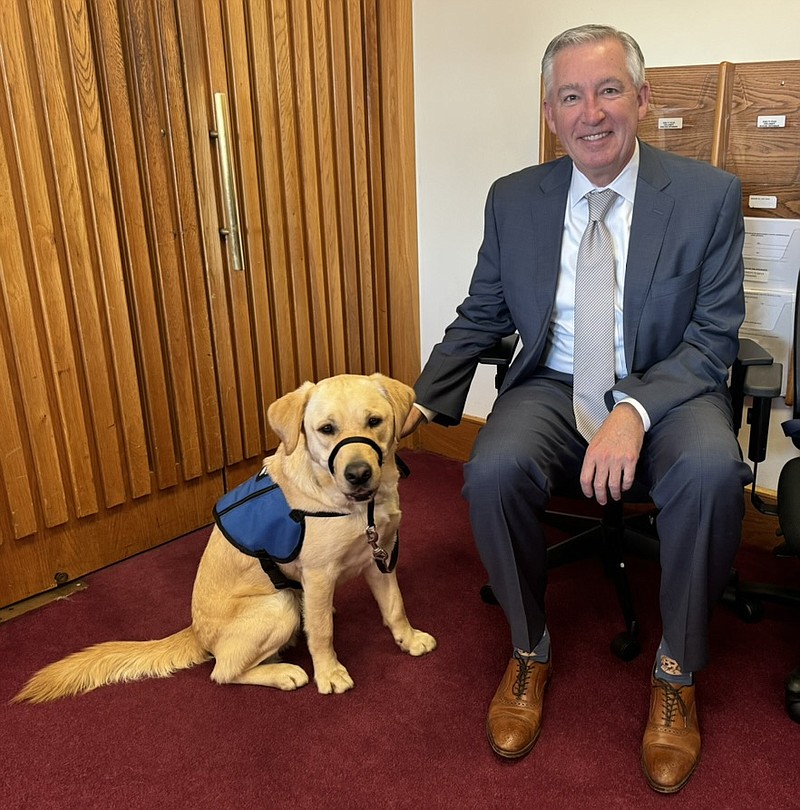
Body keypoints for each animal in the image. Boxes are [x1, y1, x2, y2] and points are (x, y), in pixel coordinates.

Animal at [14, 372, 438, 700]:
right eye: (326, 429)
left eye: (374, 421)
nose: (358, 474)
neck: (357, 506)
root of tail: (196, 632)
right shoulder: (319, 575)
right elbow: (321, 634)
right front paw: (330, 674)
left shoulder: (381, 556)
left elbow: (395, 606)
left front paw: (409, 638)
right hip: (279, 603)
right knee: (224, 670)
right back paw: (284, 671)